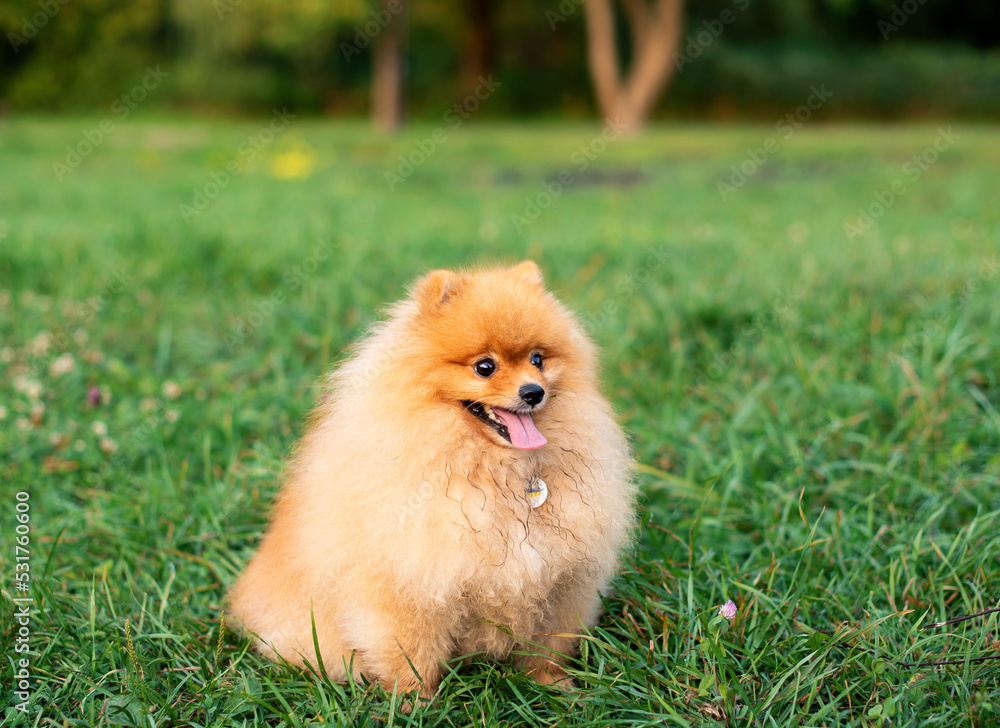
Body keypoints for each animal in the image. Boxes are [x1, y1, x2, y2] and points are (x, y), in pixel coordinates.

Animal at [229, 260, 632, 700]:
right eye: (485, 367)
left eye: (538, 359)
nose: (533, 392)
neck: (499, 472)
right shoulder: (410, 581)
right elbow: (411, 652)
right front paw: (412, 702)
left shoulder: (560, 580)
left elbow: (547, 645)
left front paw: (554, 686)